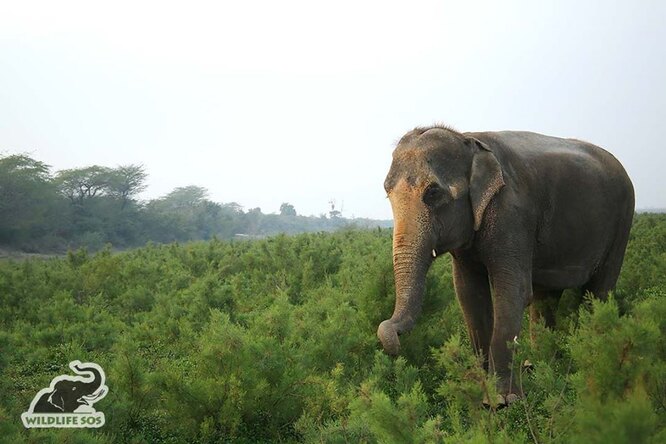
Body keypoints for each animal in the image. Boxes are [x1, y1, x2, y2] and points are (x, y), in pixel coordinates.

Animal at [376, 125, 632, 406]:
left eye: (432, 193)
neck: (468, 139)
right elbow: (469, 295)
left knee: (598, 292)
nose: (394, 344)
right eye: (387, 192)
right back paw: (538, 365)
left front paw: (502, 401)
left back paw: (589, 360)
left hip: (622, 223)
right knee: (547, 298)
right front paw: (482, 394)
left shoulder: (511, 214)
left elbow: (513, 292)